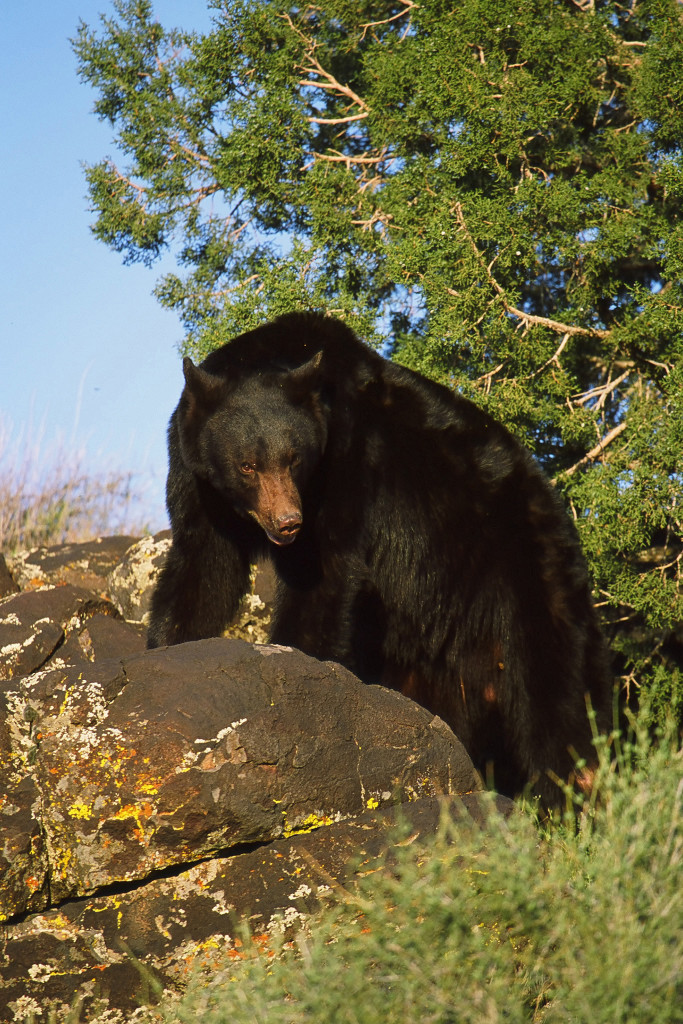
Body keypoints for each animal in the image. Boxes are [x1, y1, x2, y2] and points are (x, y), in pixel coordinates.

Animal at [148, 311, 610, 806]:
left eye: (293, 458)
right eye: (247, 465)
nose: (288, 522)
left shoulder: (348, 466)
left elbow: (324, 578)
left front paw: (293, 669)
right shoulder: (198, 483)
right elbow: (202, 571)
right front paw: (168, 648)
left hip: (524, 577)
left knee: (556, 701)